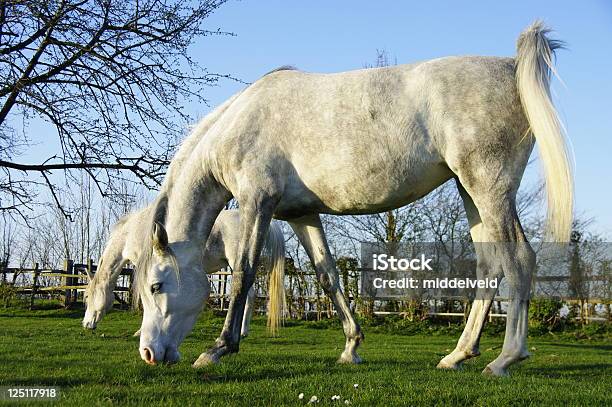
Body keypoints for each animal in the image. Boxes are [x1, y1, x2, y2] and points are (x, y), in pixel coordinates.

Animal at [135, 23, 572, 380]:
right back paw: (457, 355)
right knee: (489, 266)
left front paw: (218, 349)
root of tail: (510, 66)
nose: (148, 354)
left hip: (488, 188)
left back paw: (504, 359)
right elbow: (327, 275)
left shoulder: (256, 202)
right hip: (470, 191)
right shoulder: (302, 215)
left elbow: (243, 273)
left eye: (157, 286)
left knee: (519, 259)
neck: (239, 123)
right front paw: (351, 347)